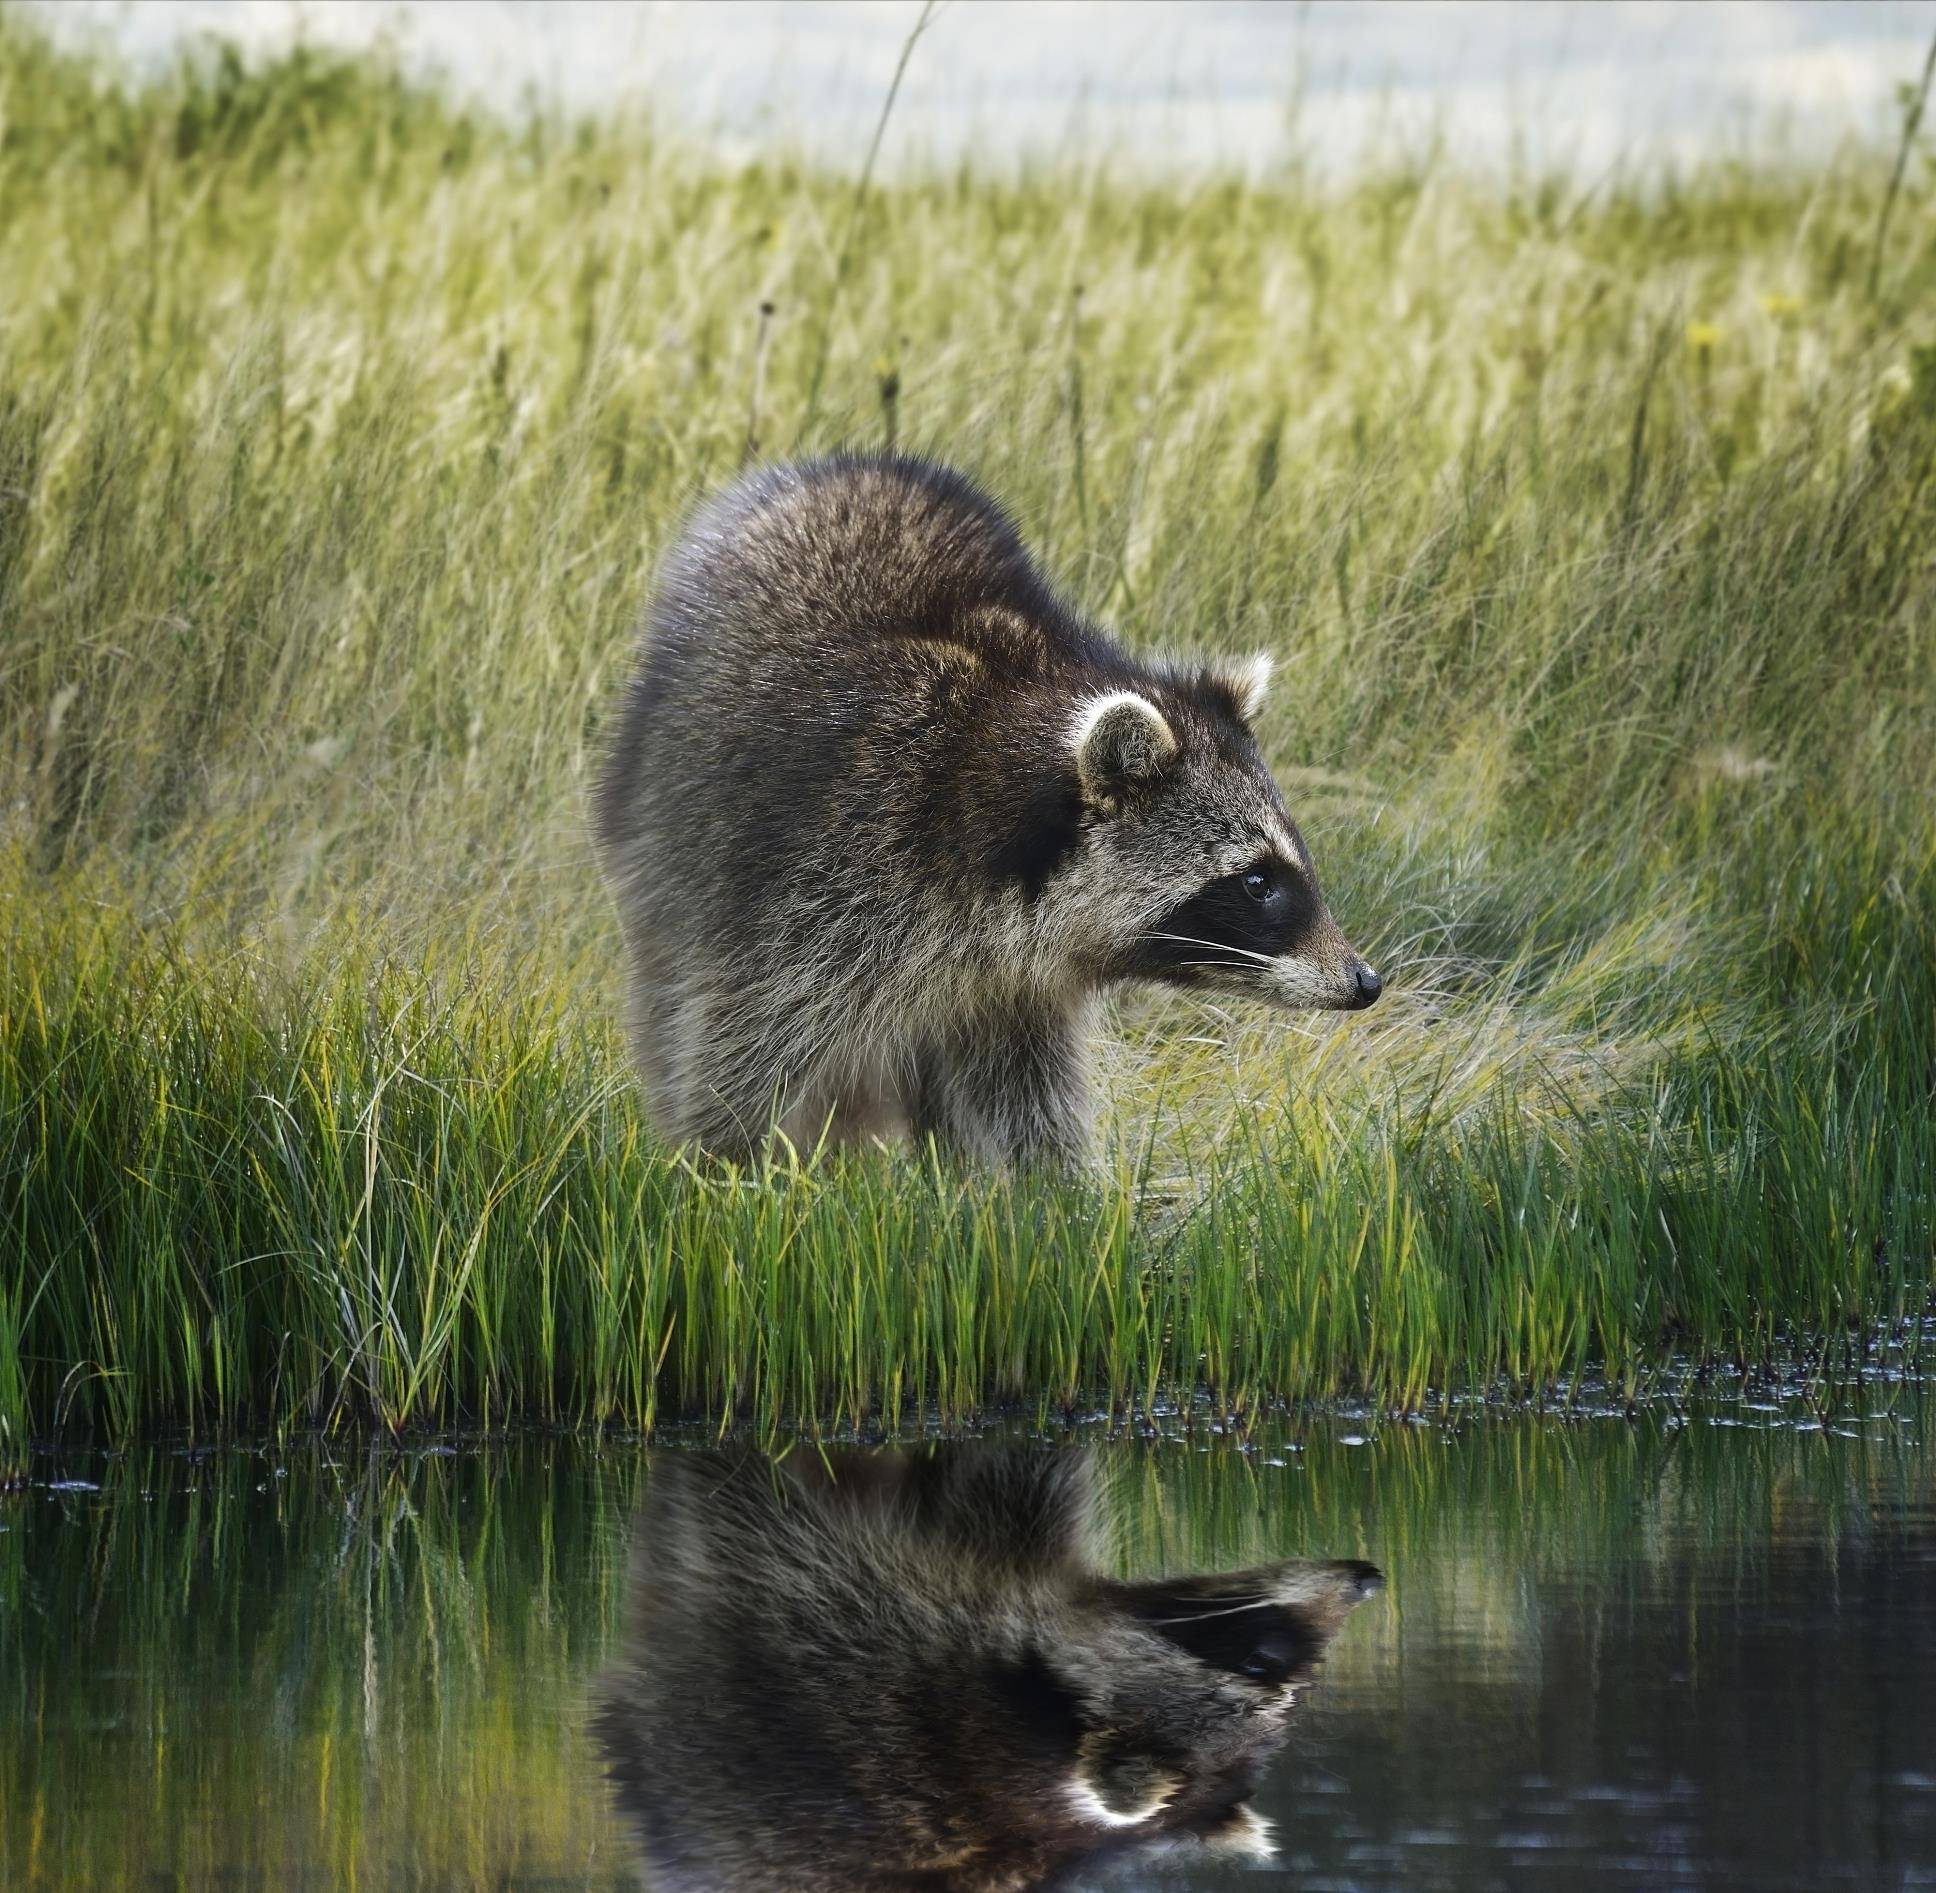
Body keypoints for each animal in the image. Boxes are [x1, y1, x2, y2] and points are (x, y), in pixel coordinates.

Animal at [588, 456, 1378, 1169]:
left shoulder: (1012, 991)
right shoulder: (821, 881)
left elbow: (1030, 1102)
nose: (1365, 981)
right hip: (666, 826)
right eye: (1257, 880)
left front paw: (1056, 1208)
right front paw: (721, 1174)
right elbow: (739, 1046)